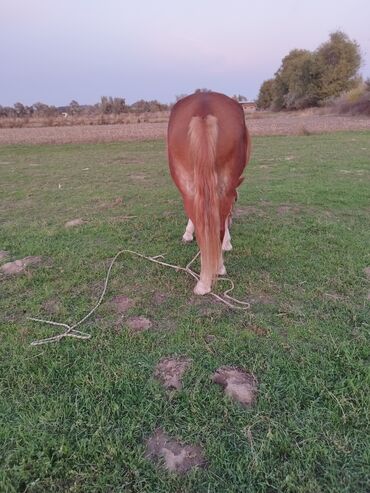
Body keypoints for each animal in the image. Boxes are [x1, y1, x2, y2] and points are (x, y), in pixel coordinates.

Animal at [168, 91, 251, 294]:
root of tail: (203, 110)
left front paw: (187, 235)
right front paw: (228, 243)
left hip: (189, 188)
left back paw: (204, 281)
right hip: (223, 188)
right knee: (218, 225)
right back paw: (218, 269)